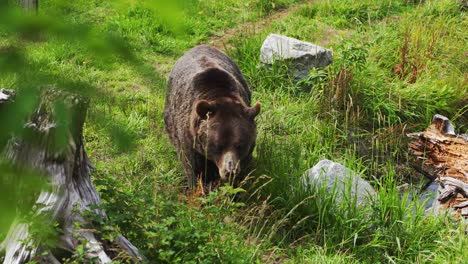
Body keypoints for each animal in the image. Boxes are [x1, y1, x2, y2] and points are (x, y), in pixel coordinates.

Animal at [164, 46, 260, 190]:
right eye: (218, 145)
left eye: (240, 145)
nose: (230, 171)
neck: (218, 93)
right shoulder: (190, 138)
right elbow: (193, 167)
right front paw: (198, 186)